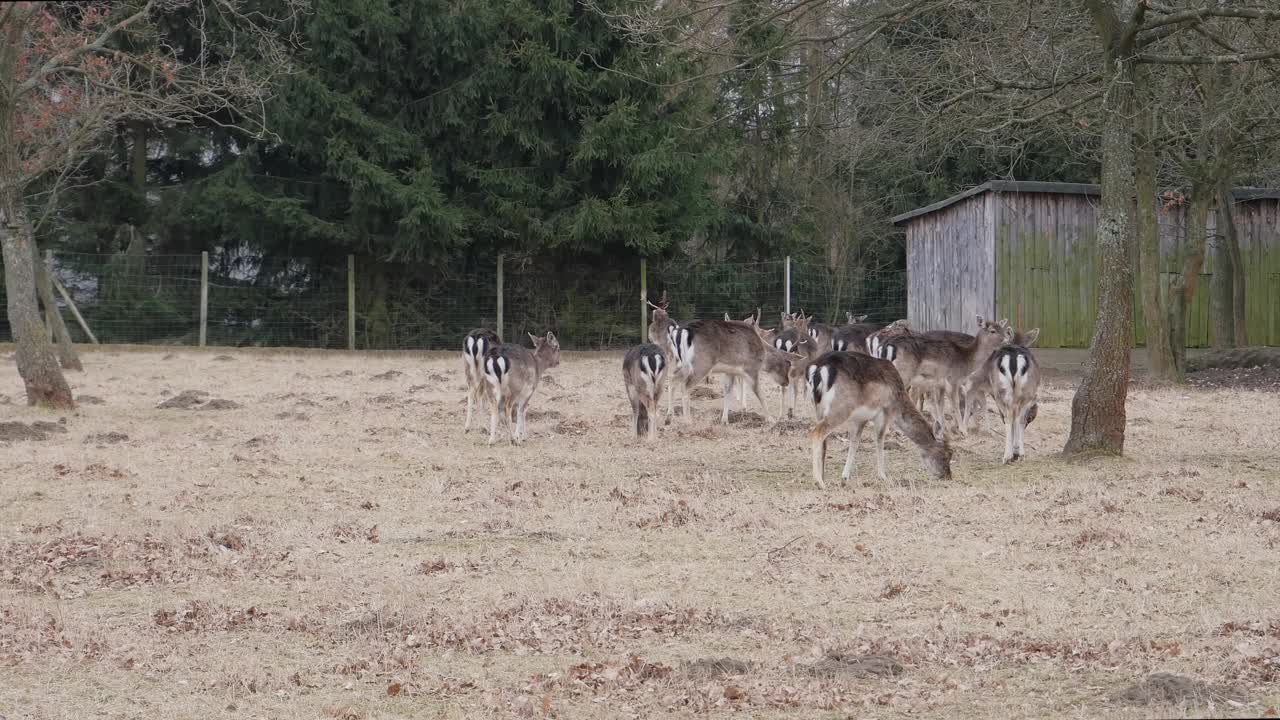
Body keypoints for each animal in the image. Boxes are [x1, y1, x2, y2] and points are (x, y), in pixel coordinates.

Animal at [808, 348, 952, 486]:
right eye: (946, 455)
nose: (947, 476)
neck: (898, 401)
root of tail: (819, 367)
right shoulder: (884, 412)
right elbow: (879, 440)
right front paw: (883, 476)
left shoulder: (859, 418)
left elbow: (854, 443)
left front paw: (844, 478)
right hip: (841, 408)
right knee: (817, 433)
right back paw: (819, 482)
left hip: (818, 408)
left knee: (823, 440)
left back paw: (822, 477)